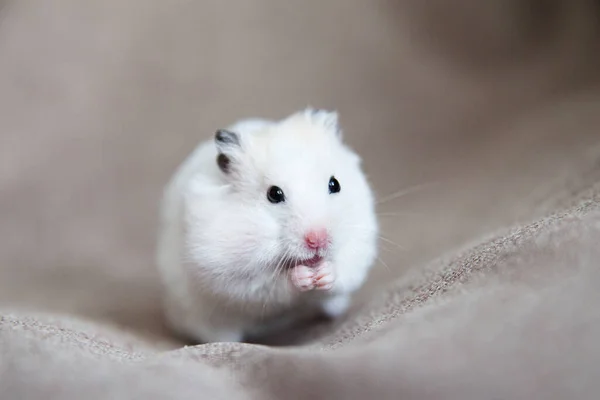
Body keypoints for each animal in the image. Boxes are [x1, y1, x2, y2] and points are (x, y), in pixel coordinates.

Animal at [157, 108, 378, 342]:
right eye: (274, 194)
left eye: (335, 184)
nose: (317, 240)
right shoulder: (230, 271)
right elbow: (272, 284)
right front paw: (304, 276)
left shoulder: (359, 241)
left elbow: (344, 268)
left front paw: (323, 275)